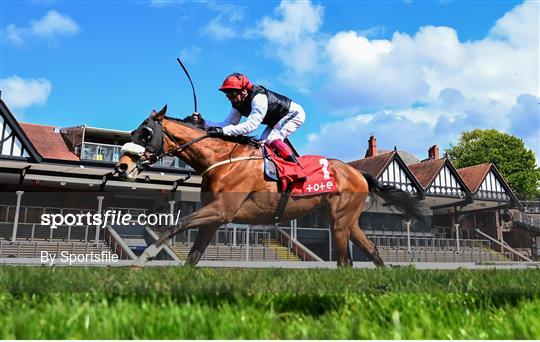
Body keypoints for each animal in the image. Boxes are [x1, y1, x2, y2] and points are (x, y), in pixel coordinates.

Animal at [115, 105, 430, 268]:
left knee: (345, 262)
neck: (223, 159)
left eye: (146, 133)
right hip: (346, 220)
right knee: (372, 250)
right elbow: (193, 255)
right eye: (133, 131)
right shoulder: (214, 216)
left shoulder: (222, 211)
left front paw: (143, 258)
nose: (122, 167)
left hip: (340, 221)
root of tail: (358, 172)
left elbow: (177, 224)